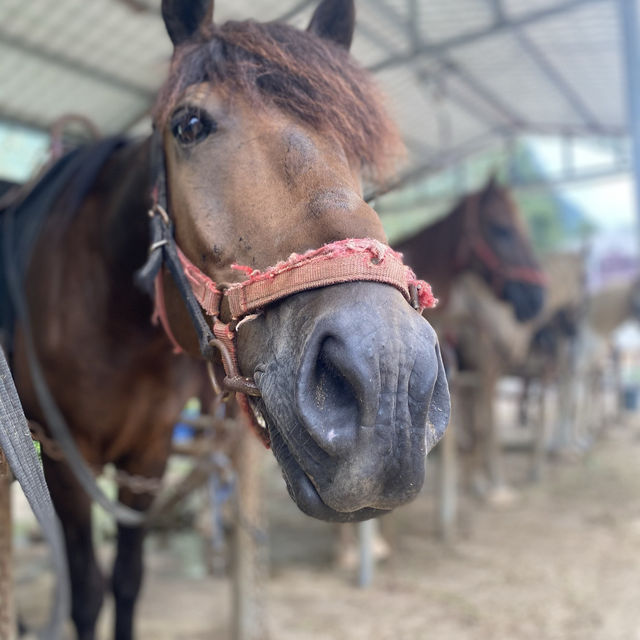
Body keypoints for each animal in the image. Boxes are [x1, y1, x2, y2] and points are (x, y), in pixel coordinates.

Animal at [1, 2, 450, 636]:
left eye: (356, 150)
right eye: (188, 125)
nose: (389, 379)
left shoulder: (149, 456)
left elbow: (127, 580)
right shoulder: (66, 463)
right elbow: (87, 592)